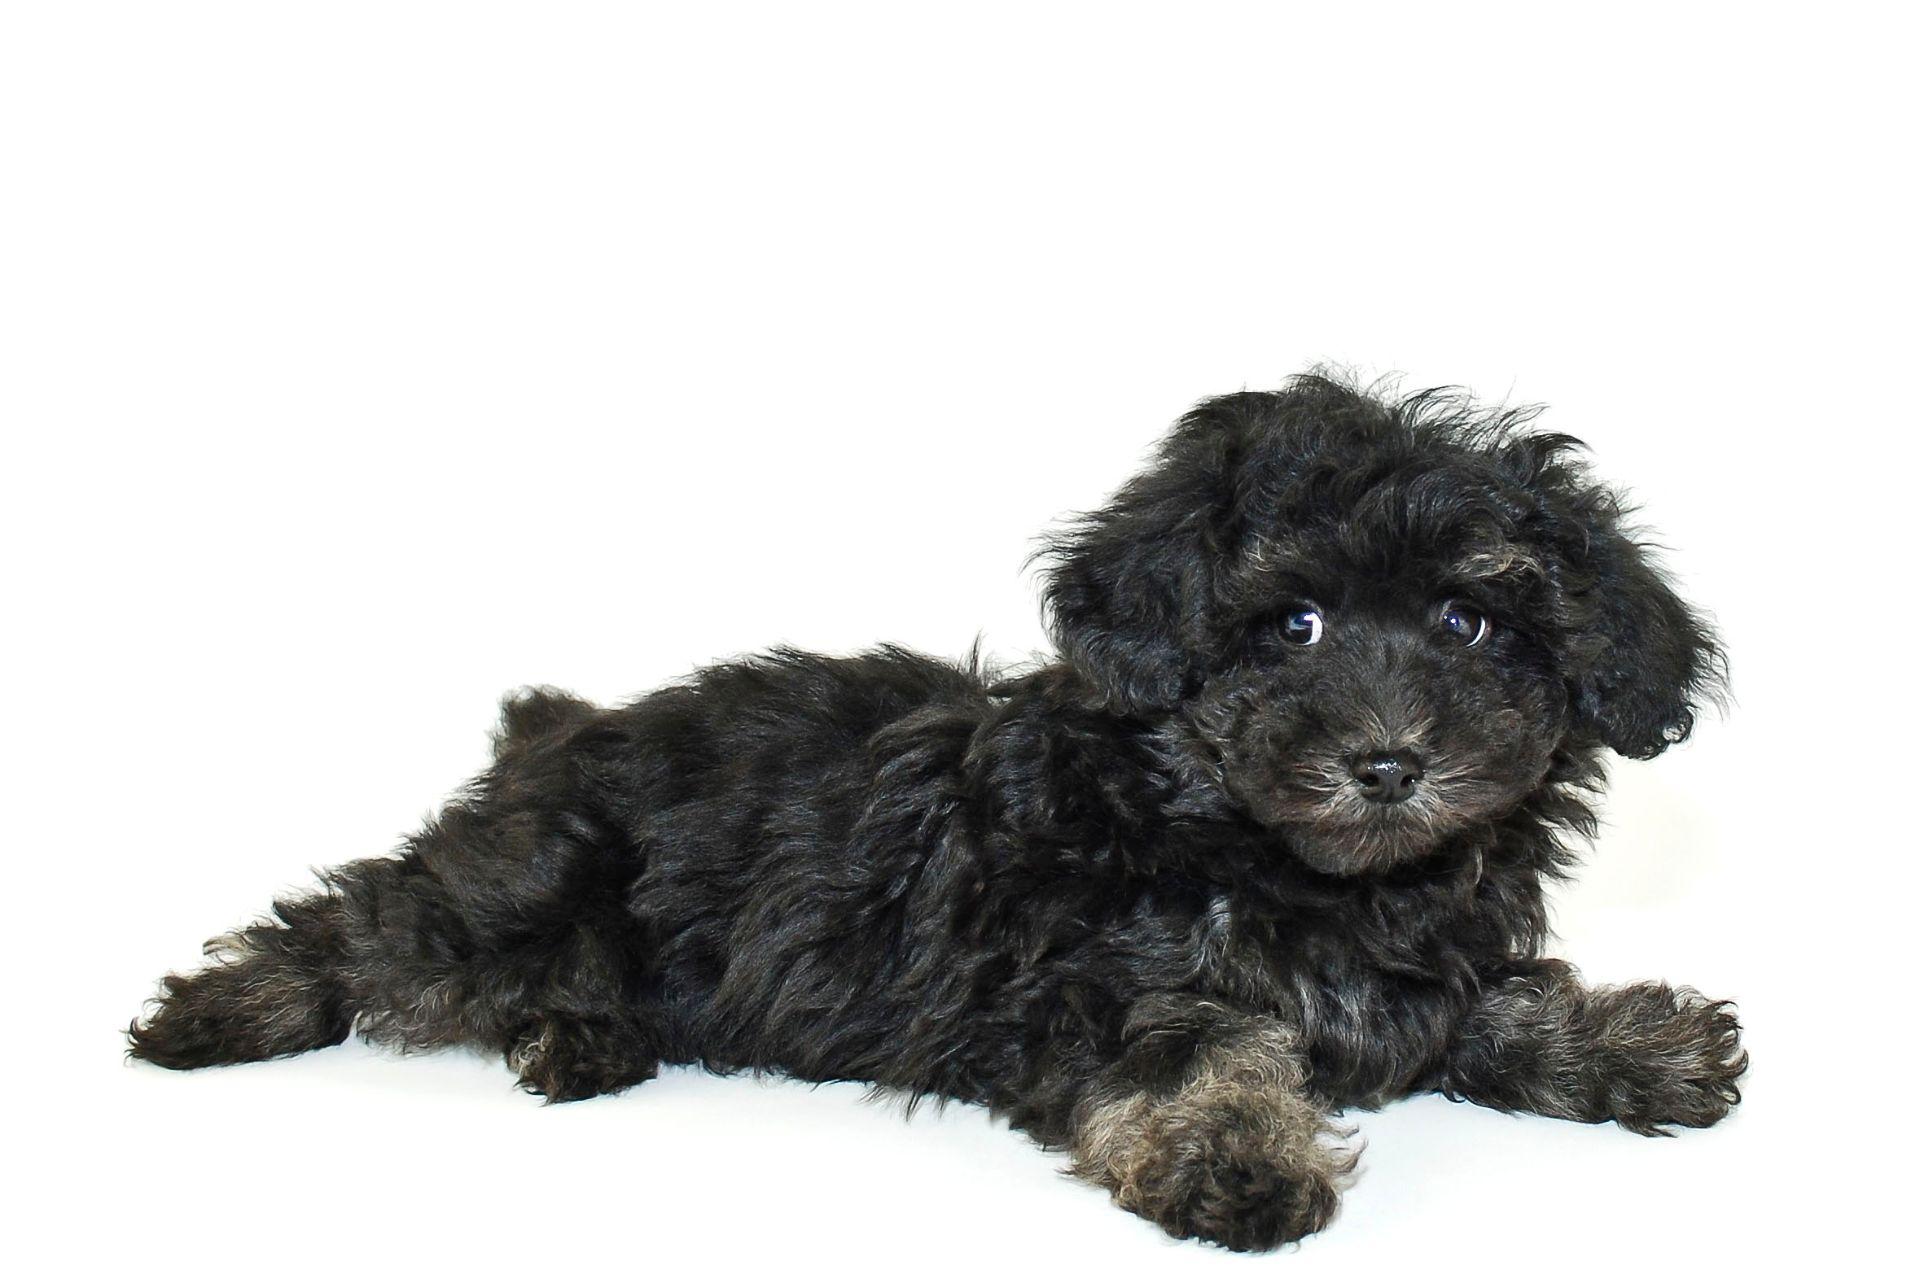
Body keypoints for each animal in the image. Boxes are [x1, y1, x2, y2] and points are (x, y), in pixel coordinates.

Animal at [127, 376, 1743, 1243]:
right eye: (1290, 623)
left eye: (1472, 625)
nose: (1392, 763)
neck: (1286, 860)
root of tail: (560, 728)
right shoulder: (1077, 984)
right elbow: (1198, 1045)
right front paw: (1239, 1148)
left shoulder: (1415, 968)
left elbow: (1492, 1007)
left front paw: (1634, 1044)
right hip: (531, 872)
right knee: (364, 919)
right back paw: (219, 1012)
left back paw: (584, 1037)